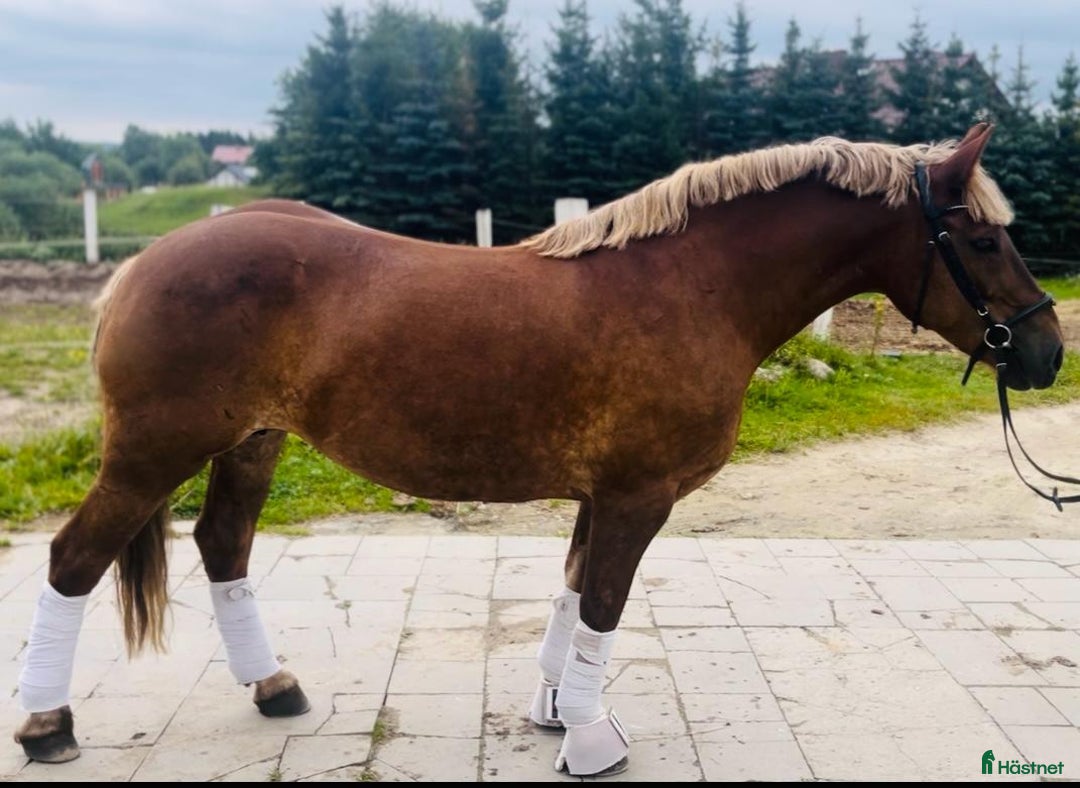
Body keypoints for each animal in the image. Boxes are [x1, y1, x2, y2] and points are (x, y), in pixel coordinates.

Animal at [13, 123, 1063, 776]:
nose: (1048, 351)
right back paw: (46, 724)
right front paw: (592, 742)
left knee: (223, 547)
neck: (692, 286)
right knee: (71, 561)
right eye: (979, 237)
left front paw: (558, 708)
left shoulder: (604, 494)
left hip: (251, 444)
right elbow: (603, 606)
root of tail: (142, 264)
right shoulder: (640, 495)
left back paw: (274, 688)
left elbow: (569, 596)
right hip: (154, 451)